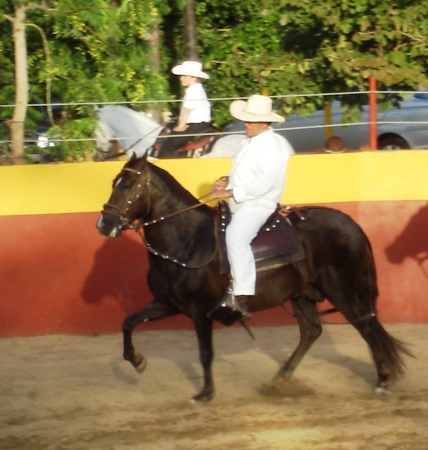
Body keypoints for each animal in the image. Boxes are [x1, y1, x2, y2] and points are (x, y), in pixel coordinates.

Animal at [96, 154, 412, 400]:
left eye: (129, 185)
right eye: (113, 183)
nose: (104, 224)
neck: (189, 240)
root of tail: (352, 224)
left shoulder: (200, 311)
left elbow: (205, 352)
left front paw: (205, 393)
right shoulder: (167, 304)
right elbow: (129, 322)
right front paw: (137, 360)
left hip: (343, 292)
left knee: (366, 326)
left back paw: (382, 381)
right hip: (303, 294)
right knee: (312, 332)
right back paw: (279, 380)